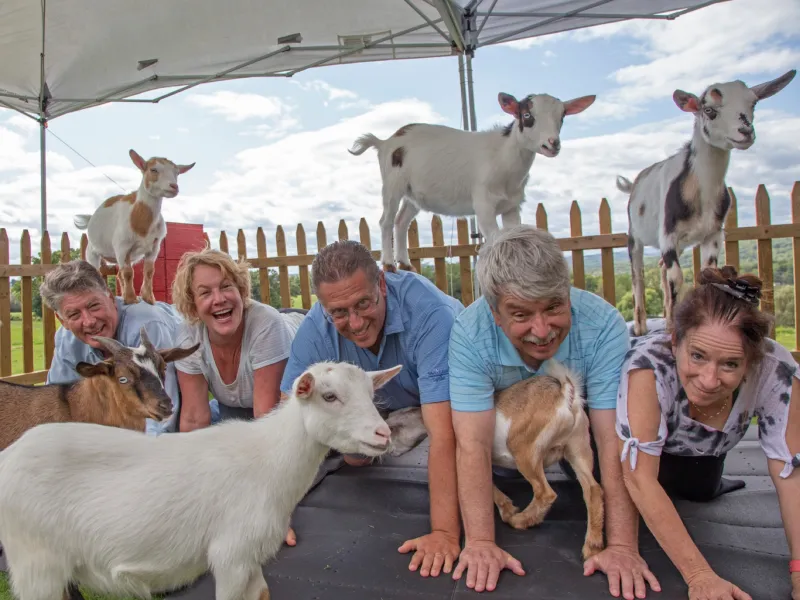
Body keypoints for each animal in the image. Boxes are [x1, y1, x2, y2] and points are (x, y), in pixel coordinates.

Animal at [0, 360, 400, 600]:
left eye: (371, 394)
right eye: (329, 396)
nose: (383, 434)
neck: (269, 463)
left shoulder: (250, 557)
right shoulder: (231, 554)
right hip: (34, 561)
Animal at [73, 149, 195, 308]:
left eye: (177, 172)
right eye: (153, 170)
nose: (174, 187)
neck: (141, 222)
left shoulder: (154, 247)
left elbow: (149, 271)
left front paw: (148, 298)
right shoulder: (122, 247)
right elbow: (128, 273)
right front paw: (131, 299)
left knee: (119, 273)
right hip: (92, 251)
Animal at [348, 91, 592, 272]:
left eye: (562, 116)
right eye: (526, 115)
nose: (552, 144)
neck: (502, 157)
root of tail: (384, 142)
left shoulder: (511, 206)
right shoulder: (484, 203)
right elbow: (495, 239)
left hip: (412, 194)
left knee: (401, 222)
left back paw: (406, 264)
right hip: (393, 184)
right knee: (386, 221)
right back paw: (389, 263)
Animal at [616, 69, 796, 338]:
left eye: (753, 103)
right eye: (709, 109)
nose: (745, 132)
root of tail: (635, 183)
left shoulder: (713, 234)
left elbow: (705, 275)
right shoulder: (668, 234)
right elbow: (677, 277)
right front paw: (672, 332)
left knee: (661, 268)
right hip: (635, 235)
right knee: (638, 273)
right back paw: (640, 326)